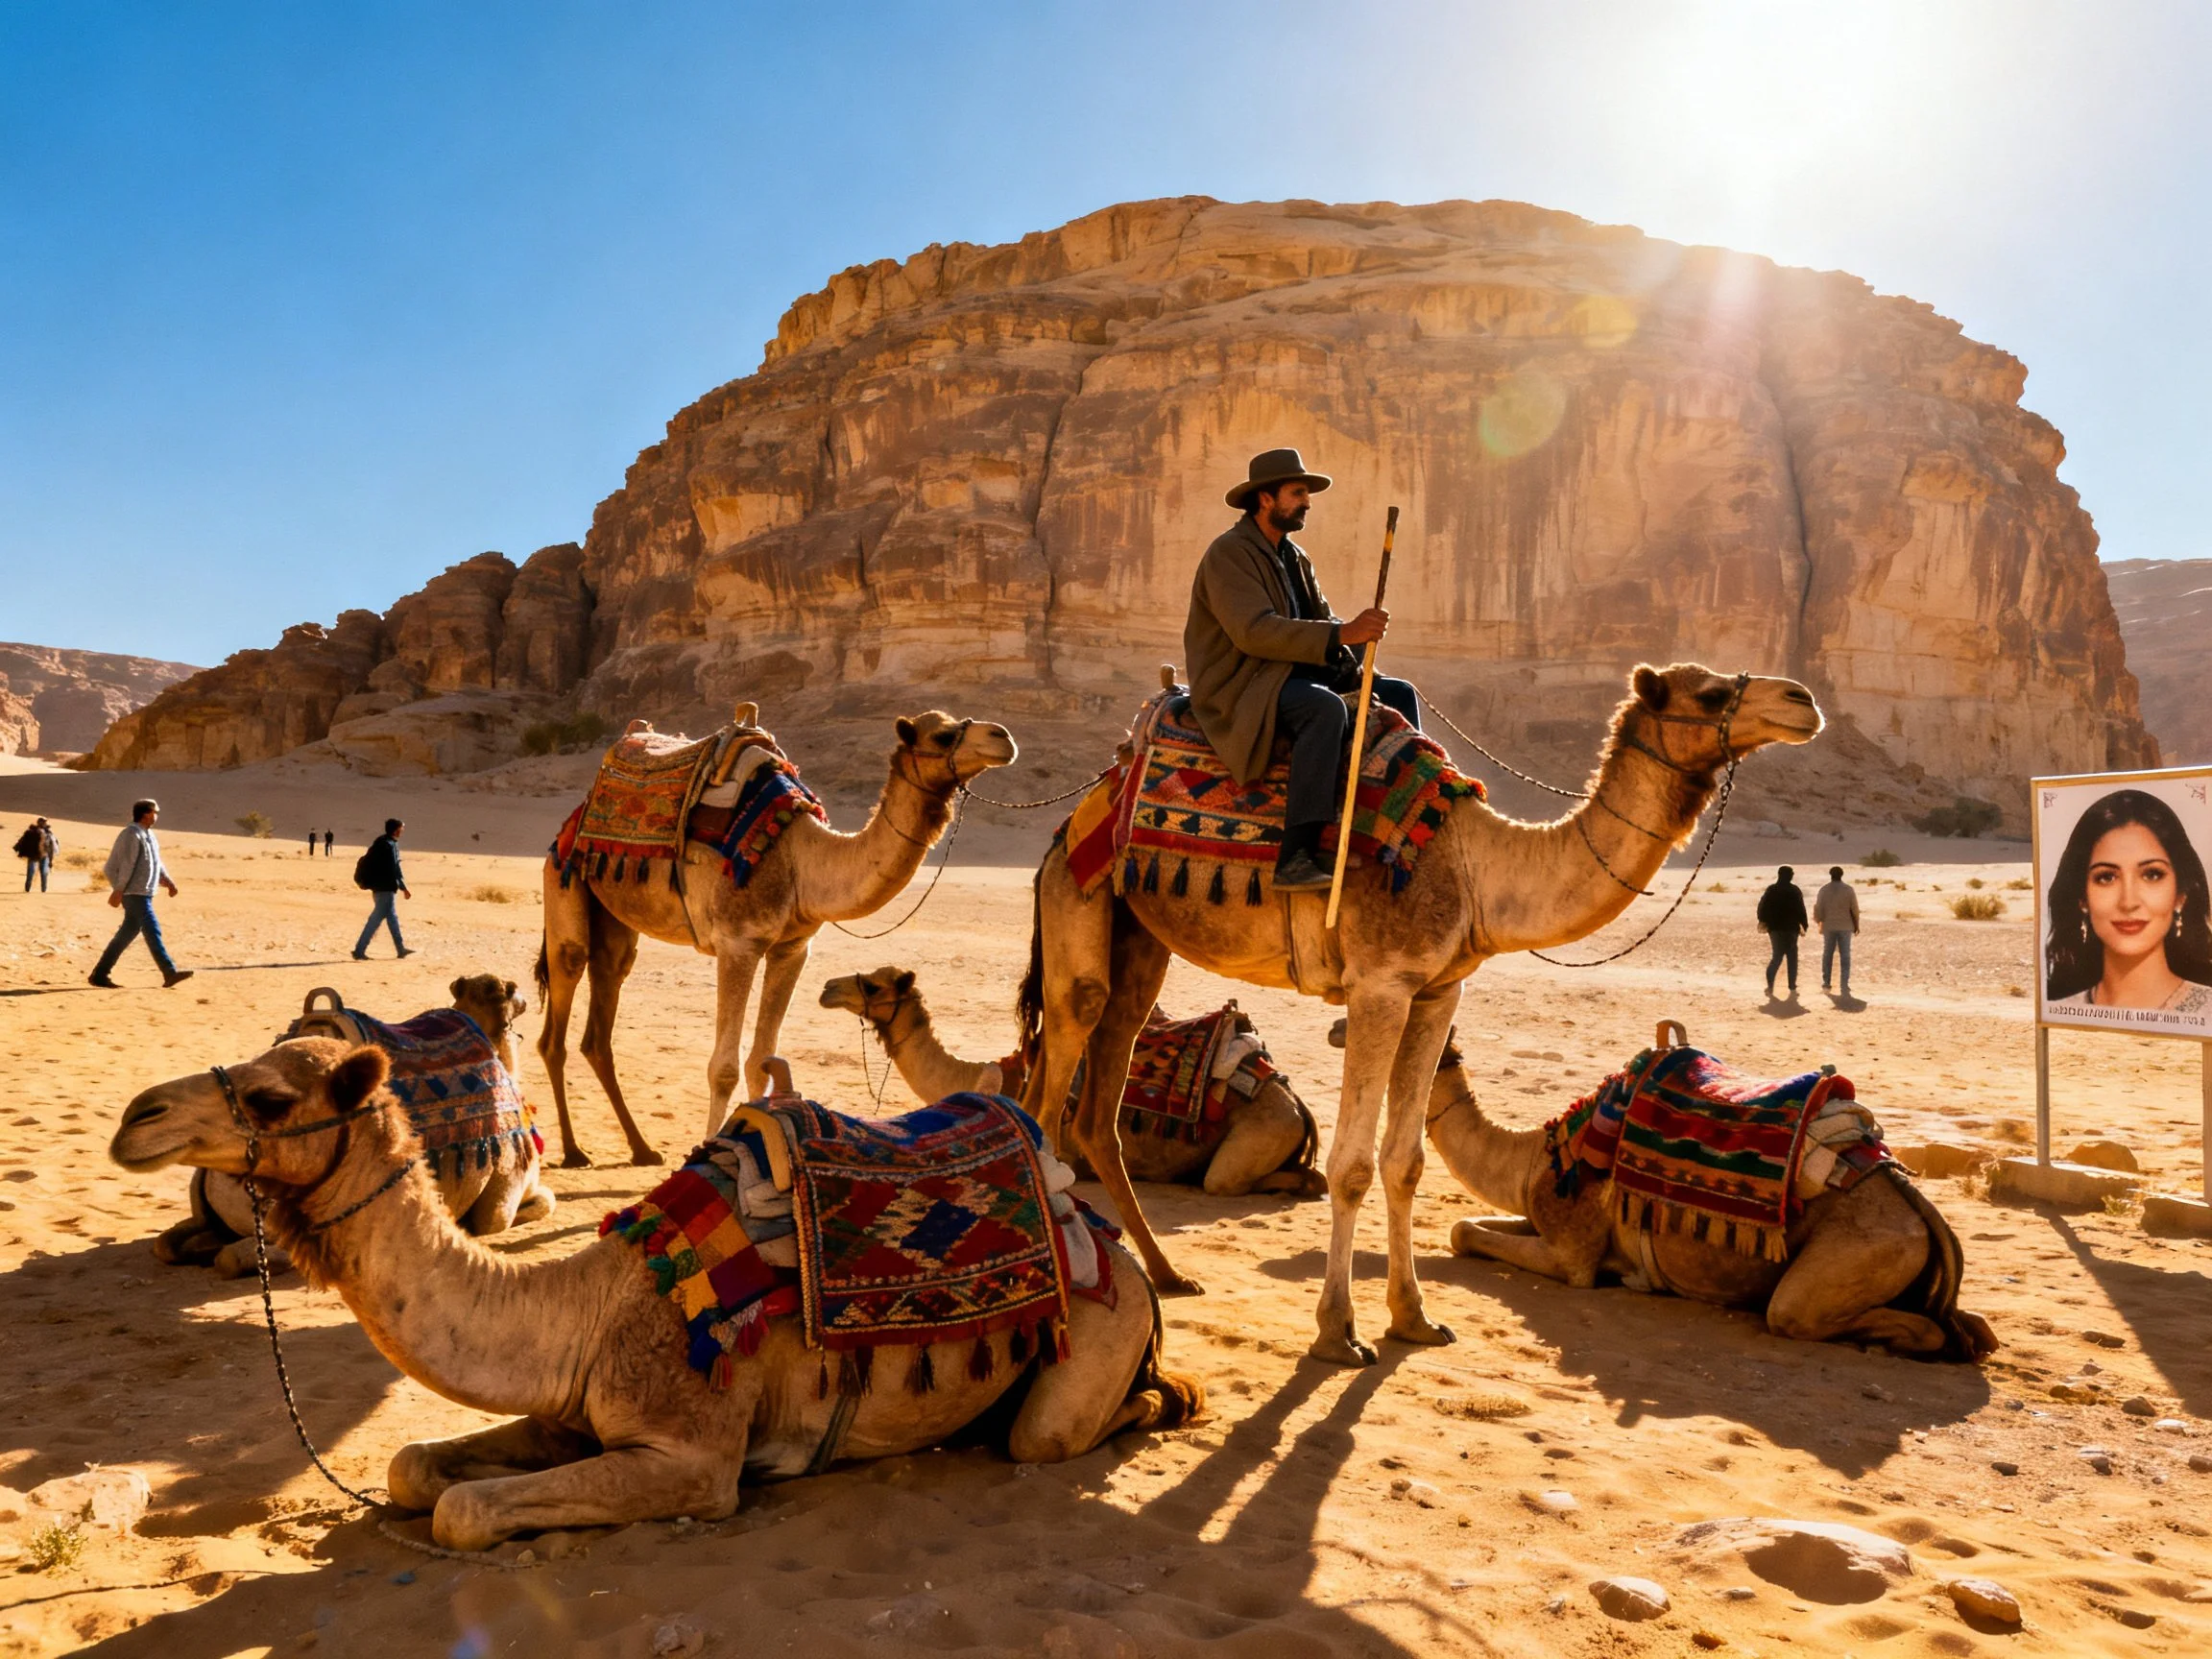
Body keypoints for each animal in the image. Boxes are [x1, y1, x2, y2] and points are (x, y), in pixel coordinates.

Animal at [110, 1038, 1202, 1549]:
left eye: (269, 1098)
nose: (136, 1116)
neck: (584, 1306)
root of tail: (1103, 1239)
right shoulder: (572, 1412)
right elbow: (417, 1468)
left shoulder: (692, 1456)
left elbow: (460, 1508)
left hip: (1092, 1344)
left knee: (1058, 1431)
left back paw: (1157, 1398)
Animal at [152, 974, 551, 1277]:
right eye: (513, 993)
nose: (527, 1000)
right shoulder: (500, 1199)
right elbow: (533, 1206)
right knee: (235, 1256)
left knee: (172, 1244)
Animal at [537, 710, 1017, 1167]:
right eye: (942, 734)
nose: (1003, 737)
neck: (800, 861)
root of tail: (576, 815)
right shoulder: (737, 943)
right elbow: (724, 1068)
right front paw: (707, 1148)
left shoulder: (792, 949)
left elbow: (762, 1060)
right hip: (563, 880)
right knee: (559, 1015)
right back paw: (574, 1151)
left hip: (616, 921)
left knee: (602, 1013)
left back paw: (642, 1150)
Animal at [819, 966, 1324, 1197]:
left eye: (874, 985)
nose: (827, 987)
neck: (994, 1077)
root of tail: (1296, 1102)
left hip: (1262, 1129)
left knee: (1232, 1180)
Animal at [1019, 662, 1823, 1365]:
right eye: (1711, 692)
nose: (1803, 700)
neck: (1477, 870)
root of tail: (1078, 814)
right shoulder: (1379, 985)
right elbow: (1350, 1167)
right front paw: (1338, 1334)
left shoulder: (1437, 992)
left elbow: (1405, 1161)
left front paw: (1414, 1319)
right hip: (1080, 905)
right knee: (1061, 1079)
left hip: (1139, 940)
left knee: (1092, 1097)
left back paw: (1167, 1274)